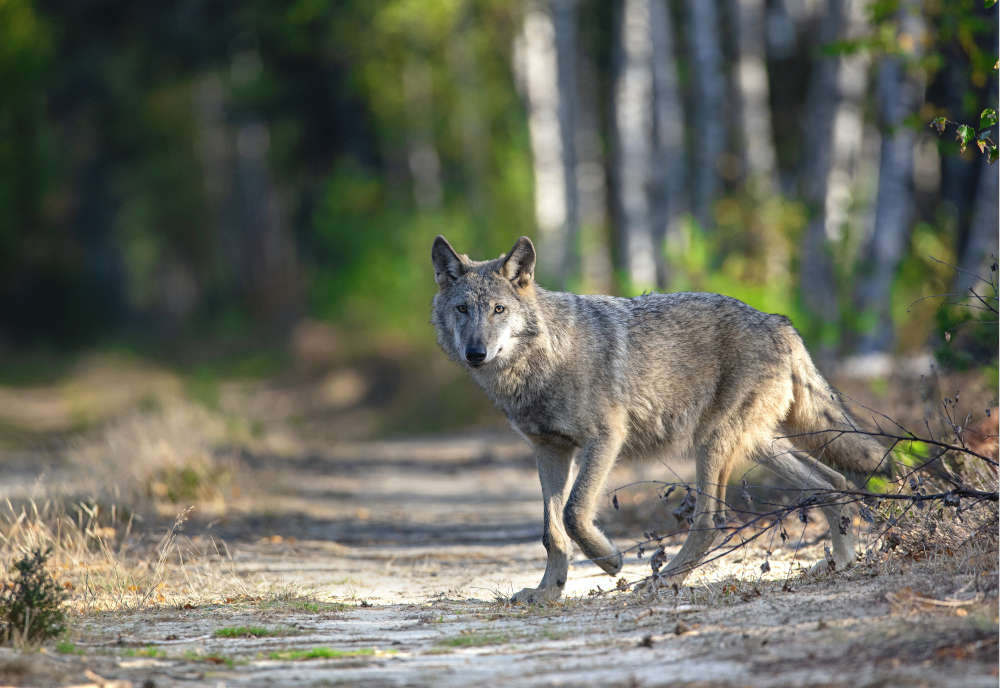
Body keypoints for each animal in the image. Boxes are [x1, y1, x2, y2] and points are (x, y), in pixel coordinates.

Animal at [434, 234, 888, 600]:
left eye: (498, 309)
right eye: (462, 309)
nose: (475, 353)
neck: (545, 361)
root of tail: (780, 323)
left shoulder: (605, 440)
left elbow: (573, 513)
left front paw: (609, 560)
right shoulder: (549, 451)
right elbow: (551, 531)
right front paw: (547, 592)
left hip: (711, 443)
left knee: (711, 521)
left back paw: (663, 580)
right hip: (757, 446)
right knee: (831, 482)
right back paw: (842, 561)